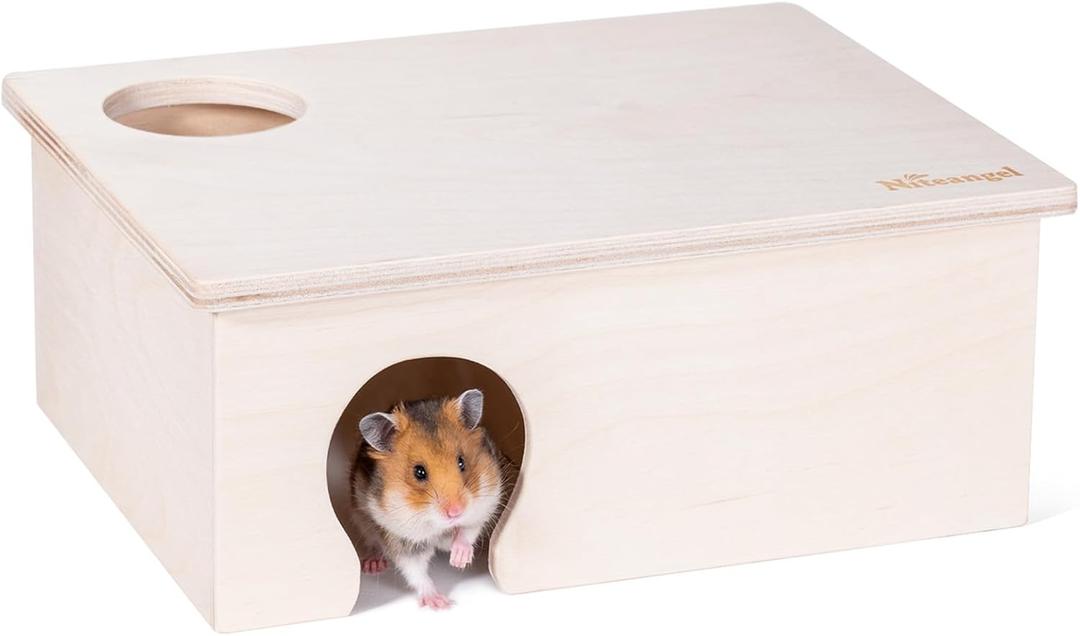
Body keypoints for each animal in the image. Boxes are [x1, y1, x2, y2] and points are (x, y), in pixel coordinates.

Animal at [350, 389, 505, 609]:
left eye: (461, 462)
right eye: (419, 472)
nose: (455, 512)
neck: (438, 524)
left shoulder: (484, 504)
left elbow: (467, 531)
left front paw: (458, 561)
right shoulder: (401, 539)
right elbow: (415, 571)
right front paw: (440, 603)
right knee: (373, 543)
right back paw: (373, 565)